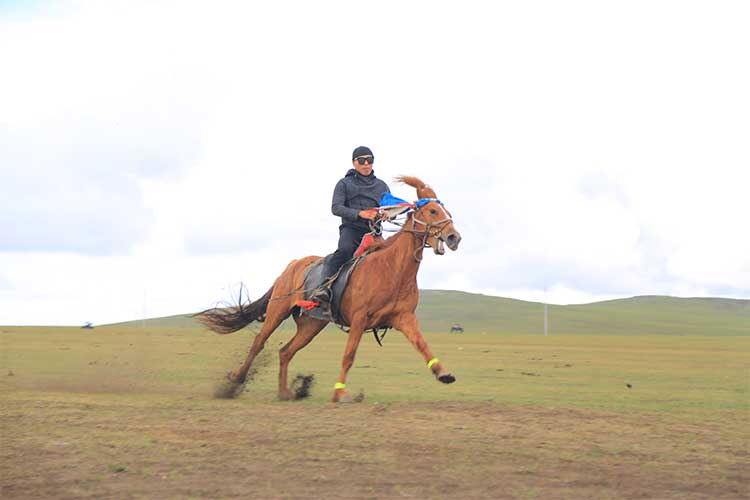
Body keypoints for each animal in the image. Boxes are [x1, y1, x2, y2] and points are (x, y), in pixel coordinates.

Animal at [197, 176, 462, 402]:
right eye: (432, 211)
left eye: (446, 212)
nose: (454, 238)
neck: (392, 270)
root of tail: (293, 265)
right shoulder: (359, 319)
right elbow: (349, 355)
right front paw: (340, 393)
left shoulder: (404, 318)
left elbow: (422, 345)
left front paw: (443, 373)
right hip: (277, 311)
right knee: (259, 342)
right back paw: (236, 380)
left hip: (311, 325)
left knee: (285, 352)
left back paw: (285, 393)